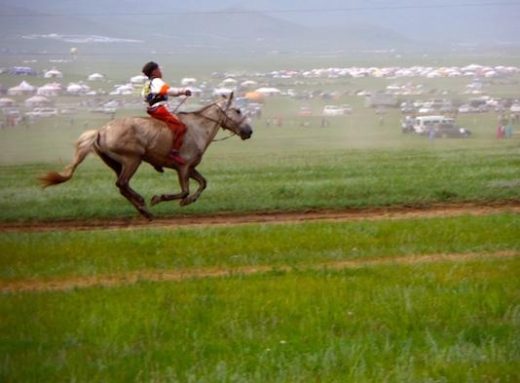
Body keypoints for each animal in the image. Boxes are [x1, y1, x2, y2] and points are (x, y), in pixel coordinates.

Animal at [38, 93, 252, 219]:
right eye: (238, 110)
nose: (249, 131)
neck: (198, 128)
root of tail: (100, 132)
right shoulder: (183, 168)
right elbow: (184, 190)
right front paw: (159, 198)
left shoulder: (190, 168)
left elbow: (203, 183)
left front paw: (189, 201)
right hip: (132, 160)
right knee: (122, 183)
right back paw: (143, 205)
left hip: (116, 164)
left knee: (121, 187)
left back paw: (143, 209)